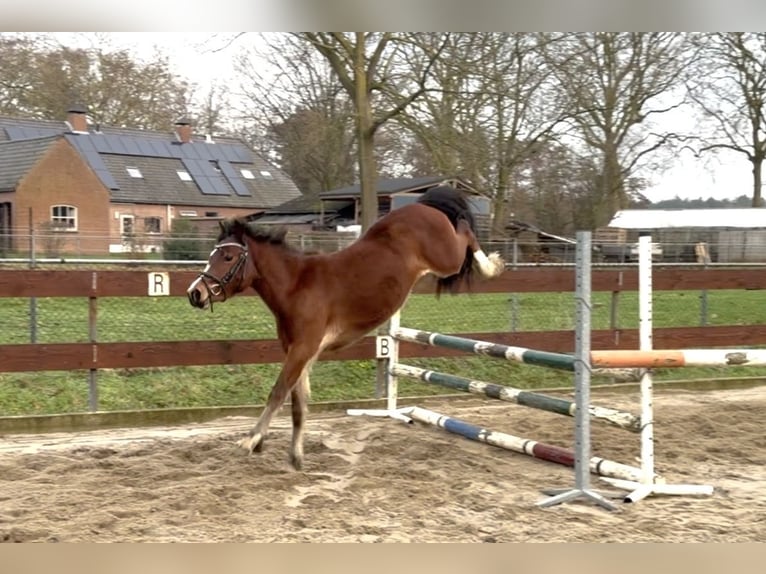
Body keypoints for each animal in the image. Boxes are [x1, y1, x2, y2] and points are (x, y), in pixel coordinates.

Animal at [186, 185, 505, 470]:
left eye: (227, 257)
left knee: (465, 229)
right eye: (213, 256)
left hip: (447, 259)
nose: (195, 293)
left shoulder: (302, 350)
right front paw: (295, 457)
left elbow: (278, 392)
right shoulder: (298, 352)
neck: (296, 286)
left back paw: (491, 265)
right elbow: (298, 405)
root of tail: (422, 206)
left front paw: (251, 441)